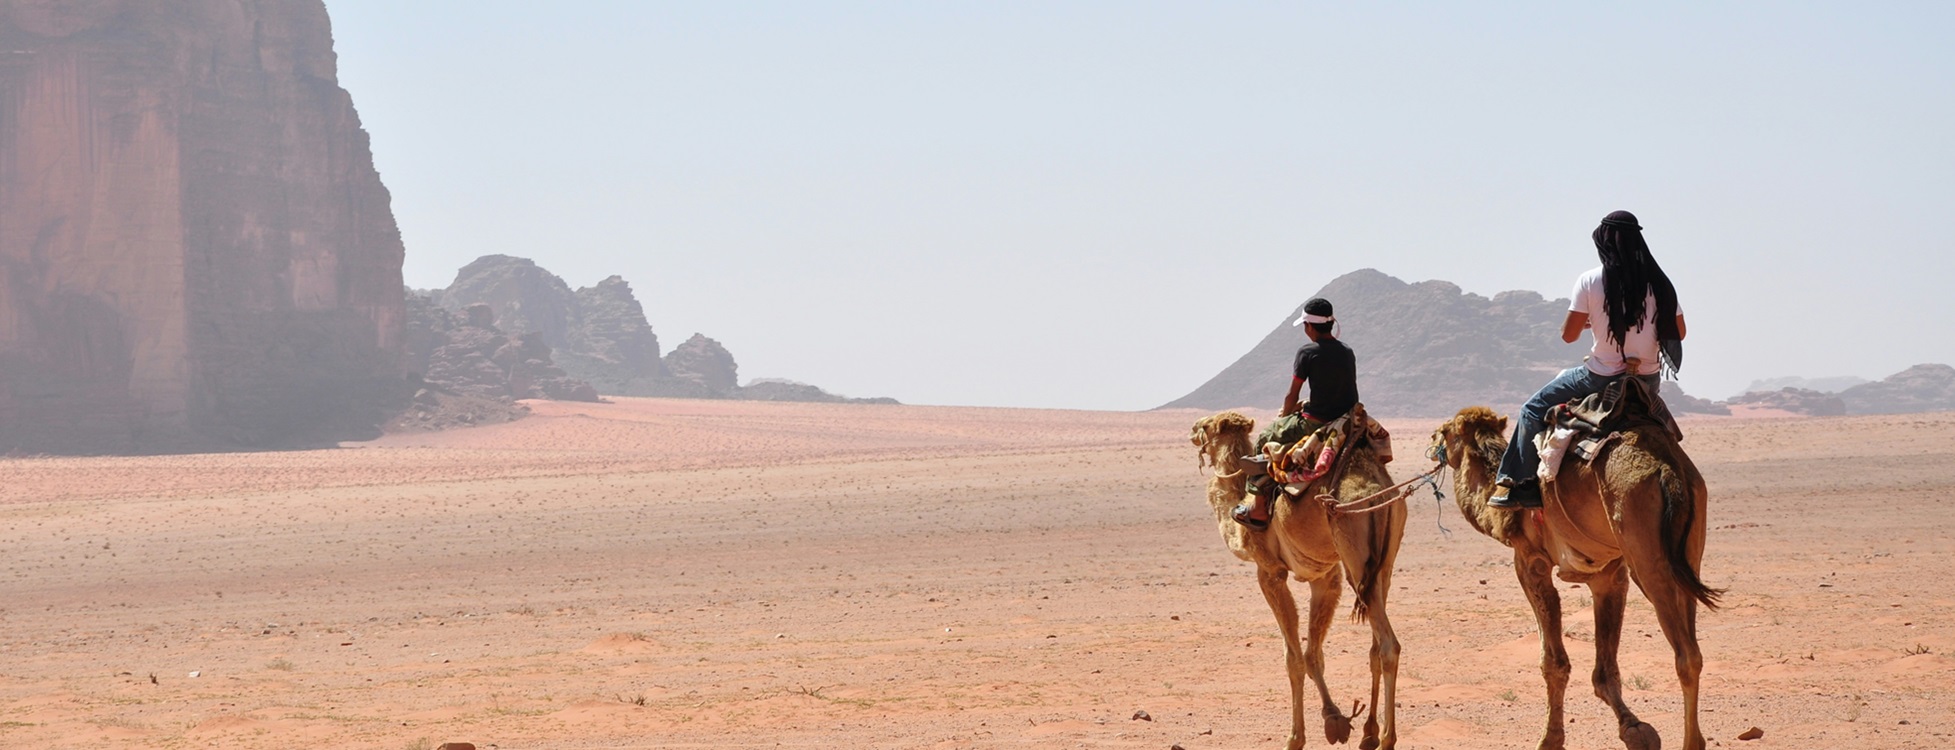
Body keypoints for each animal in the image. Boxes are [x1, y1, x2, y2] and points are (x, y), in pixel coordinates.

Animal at [1188, 414, 1407, 746]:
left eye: (1206, 426)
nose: (1192, 430)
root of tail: (1378, 493)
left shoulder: (1270, 571)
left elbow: (1293, 658)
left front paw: (1295, 738)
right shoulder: (1325, 576)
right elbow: (1313, 654)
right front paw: (1335, 720)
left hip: (1355, 555)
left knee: (1388, 646)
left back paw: (1386, 740)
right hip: (1382, 565)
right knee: (1375, 647)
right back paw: (1369, 733)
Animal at [1431, 406, 1720, 750]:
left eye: (1445, 431)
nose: (1432, 441)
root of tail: (1668, 469)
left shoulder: (1530, 561)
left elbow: (1553, 662)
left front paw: (1549, 739)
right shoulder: (1607, 574)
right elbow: (1605, 671)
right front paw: (1635, 729)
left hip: (1647, 555)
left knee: (1685, 655)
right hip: (1689, 548)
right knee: (1695, 650)